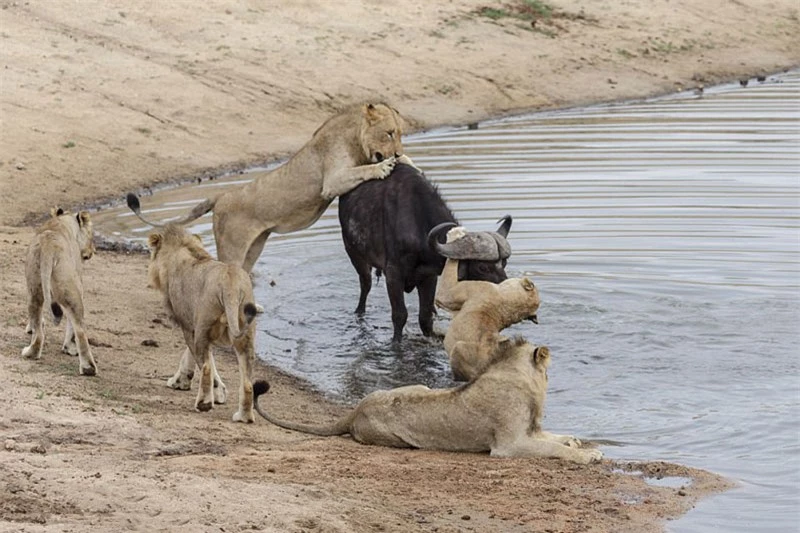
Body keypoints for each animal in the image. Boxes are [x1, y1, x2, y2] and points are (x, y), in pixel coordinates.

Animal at [22, 206, 98, 376]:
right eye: (91, 235)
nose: (93, 251)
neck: (63, 222)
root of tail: (48, 246)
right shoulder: (79, 284)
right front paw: (69, 347)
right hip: (69, 289)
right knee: (79, 329)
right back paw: (87, 367)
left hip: (34, 288)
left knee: (39, 328)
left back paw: (30, 352)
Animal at [128, 102, 416, 274]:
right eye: (389, 133)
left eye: (400, 133)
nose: (396, 151)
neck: (354, 139)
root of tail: (221, 195)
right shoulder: (332, 181)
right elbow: (363, 171)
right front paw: (384, 167)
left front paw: (407, 162)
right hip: (232, 248)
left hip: (254, 247)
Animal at [253, 338, 604, 464]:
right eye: (548, 370)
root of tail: (356, 408)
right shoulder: (509, 445)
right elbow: (553, 448)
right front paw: (588, 456)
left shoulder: (531, 431)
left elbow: (555, 437)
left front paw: (579, 442)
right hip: (397, 439)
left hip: (419, 385)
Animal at [334, 162, 510, 340]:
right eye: (482, 267)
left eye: (504, 263)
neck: (419, 224)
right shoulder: (393, 274)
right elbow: (400, 315)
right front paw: (396, 341)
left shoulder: (428, 276)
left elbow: (425, 317)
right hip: (354, 254)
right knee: (365, 285)